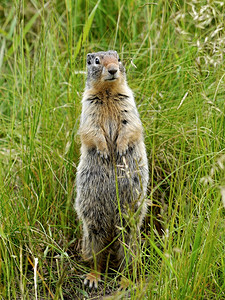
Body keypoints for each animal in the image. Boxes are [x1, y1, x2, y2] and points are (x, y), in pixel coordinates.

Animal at [75, 49, 149, 288]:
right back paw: (93, 277)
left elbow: (130, 126)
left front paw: (120, 148)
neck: (107, 93)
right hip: (92, 224)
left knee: (126, 255)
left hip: (129, 227)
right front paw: (105, 151)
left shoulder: (129, 104)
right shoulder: (88, 107)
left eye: (118, 58)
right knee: (96, 253)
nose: (113, 69)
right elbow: (92, 131)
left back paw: (125, 281)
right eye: (97, 60)